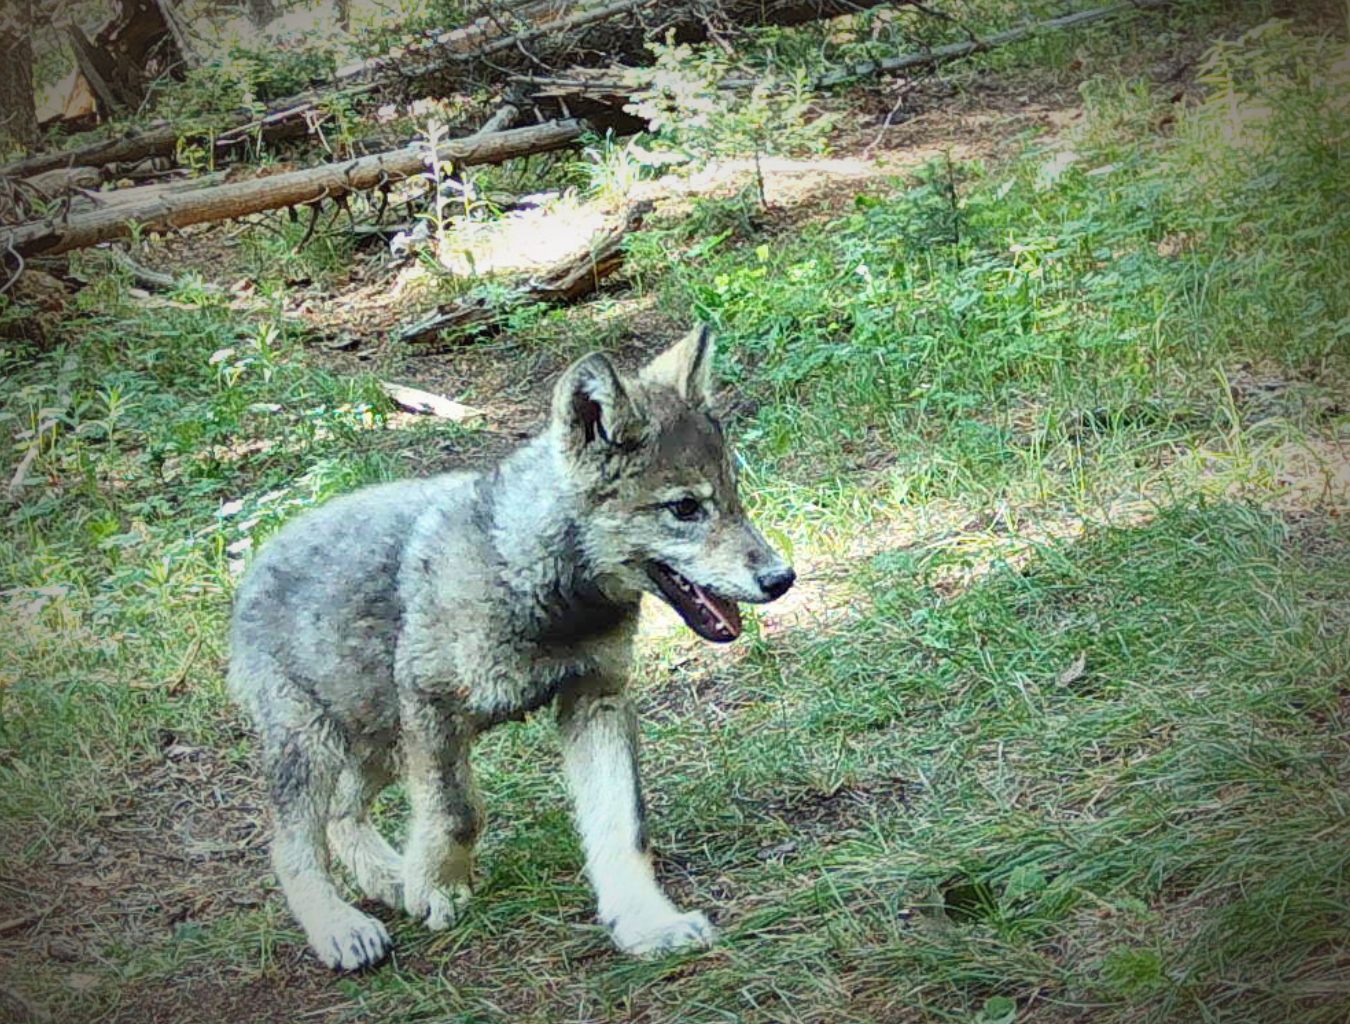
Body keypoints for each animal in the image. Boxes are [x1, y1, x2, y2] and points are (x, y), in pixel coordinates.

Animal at [227, 325, 795, 970]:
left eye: (735, 497)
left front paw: (646, 924)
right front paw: (437, 887)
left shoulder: (595, 700)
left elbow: (623, 825)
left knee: (344, 814)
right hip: (319, 743)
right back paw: (339, 926)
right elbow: (458, 813)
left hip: (378, 741)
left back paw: (390, 879)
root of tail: (258, 555)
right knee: (291, 843)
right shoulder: (433, 706)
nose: (782, 578)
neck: (528, 578)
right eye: (685, 508)